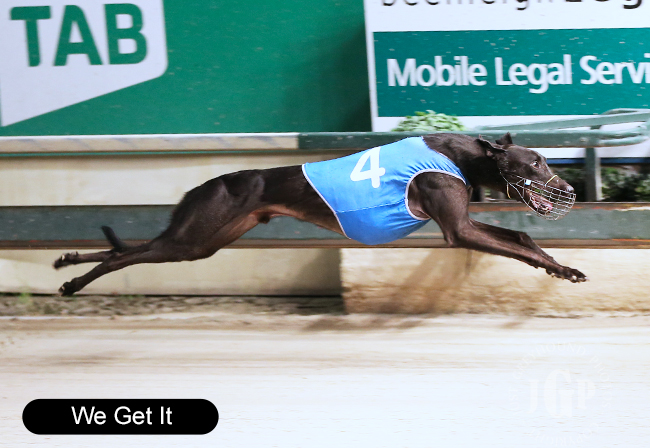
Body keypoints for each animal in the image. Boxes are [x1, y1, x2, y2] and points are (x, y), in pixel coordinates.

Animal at [54, 132, 586, 296]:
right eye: (536, 163)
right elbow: (516, 247)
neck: (463, 153)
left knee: (131, 247)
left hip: (204, 241)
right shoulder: (456, 229)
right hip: (196, 234)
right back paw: (73, 280)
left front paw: (561, 267)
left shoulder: (464, 221)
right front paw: (563, 269)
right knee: (125, 255)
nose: (569, 189)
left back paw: (67, 262)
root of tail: (206, 184)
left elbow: (523, 240)